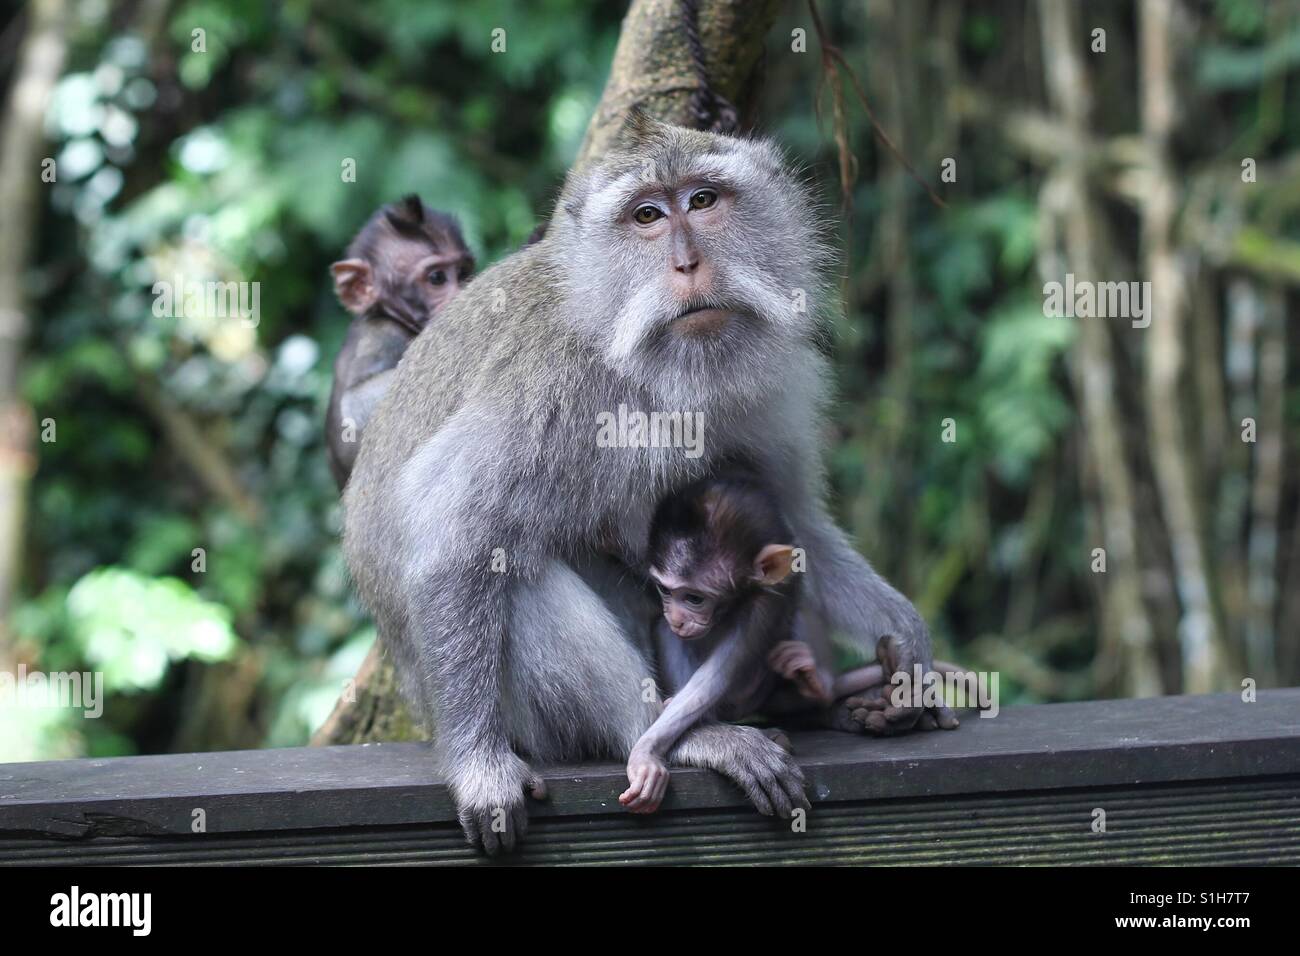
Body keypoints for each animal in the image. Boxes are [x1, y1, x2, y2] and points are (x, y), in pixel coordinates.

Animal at [325, 197, 473, 489]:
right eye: (437, 278)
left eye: (463, 273)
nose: (462, 296)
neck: (385, 313)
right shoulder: (382, 336)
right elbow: (354, 401)